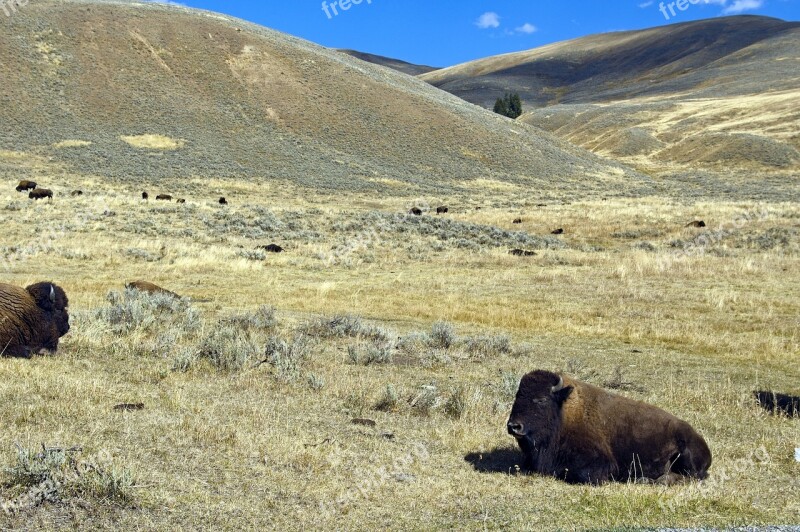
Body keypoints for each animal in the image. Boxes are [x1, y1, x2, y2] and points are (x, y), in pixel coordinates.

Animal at [510, 370, 708, 486]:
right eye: (517, 395)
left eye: (542, 399)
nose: (514, 426)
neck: (565, 411)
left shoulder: (600, 461)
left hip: (686, 454)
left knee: (691, 476)